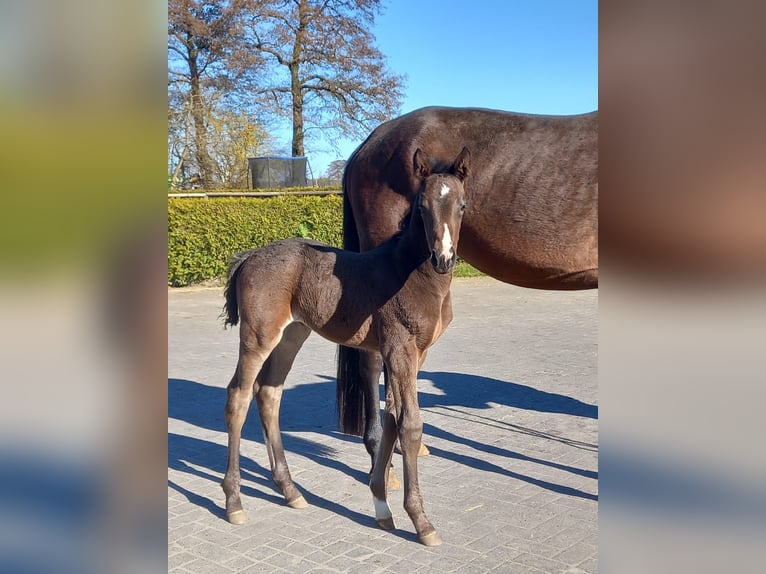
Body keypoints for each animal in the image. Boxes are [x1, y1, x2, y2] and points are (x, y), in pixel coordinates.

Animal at [222, 146, 472, 548]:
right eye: (421, 206)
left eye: (462, 205)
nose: (443, 258)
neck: (412, 275)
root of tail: (249, 257)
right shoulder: (400, 349)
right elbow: (410, 425)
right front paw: (421, 520)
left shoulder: (416, 353)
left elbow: (392, 417)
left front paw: (382, 507)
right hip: (258, 336)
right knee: (239, 397)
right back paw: (234, 501)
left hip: (292, 335)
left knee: (269, 394)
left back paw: (290, 491)